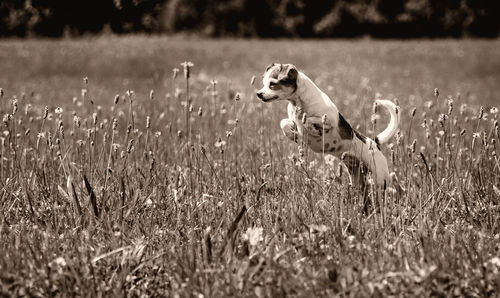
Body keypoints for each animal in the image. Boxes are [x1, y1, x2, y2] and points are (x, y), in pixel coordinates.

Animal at [256, 63, 400, 189]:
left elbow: (308, 120)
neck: (298, 103)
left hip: (380, 179)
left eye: (272, 84)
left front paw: (313, 129)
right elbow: (284, 123)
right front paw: (293, 135)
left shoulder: (329, 119)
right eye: (263, 82)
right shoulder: (292, 120)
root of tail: (374, 142)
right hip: (357, 179)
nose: (258, 93)